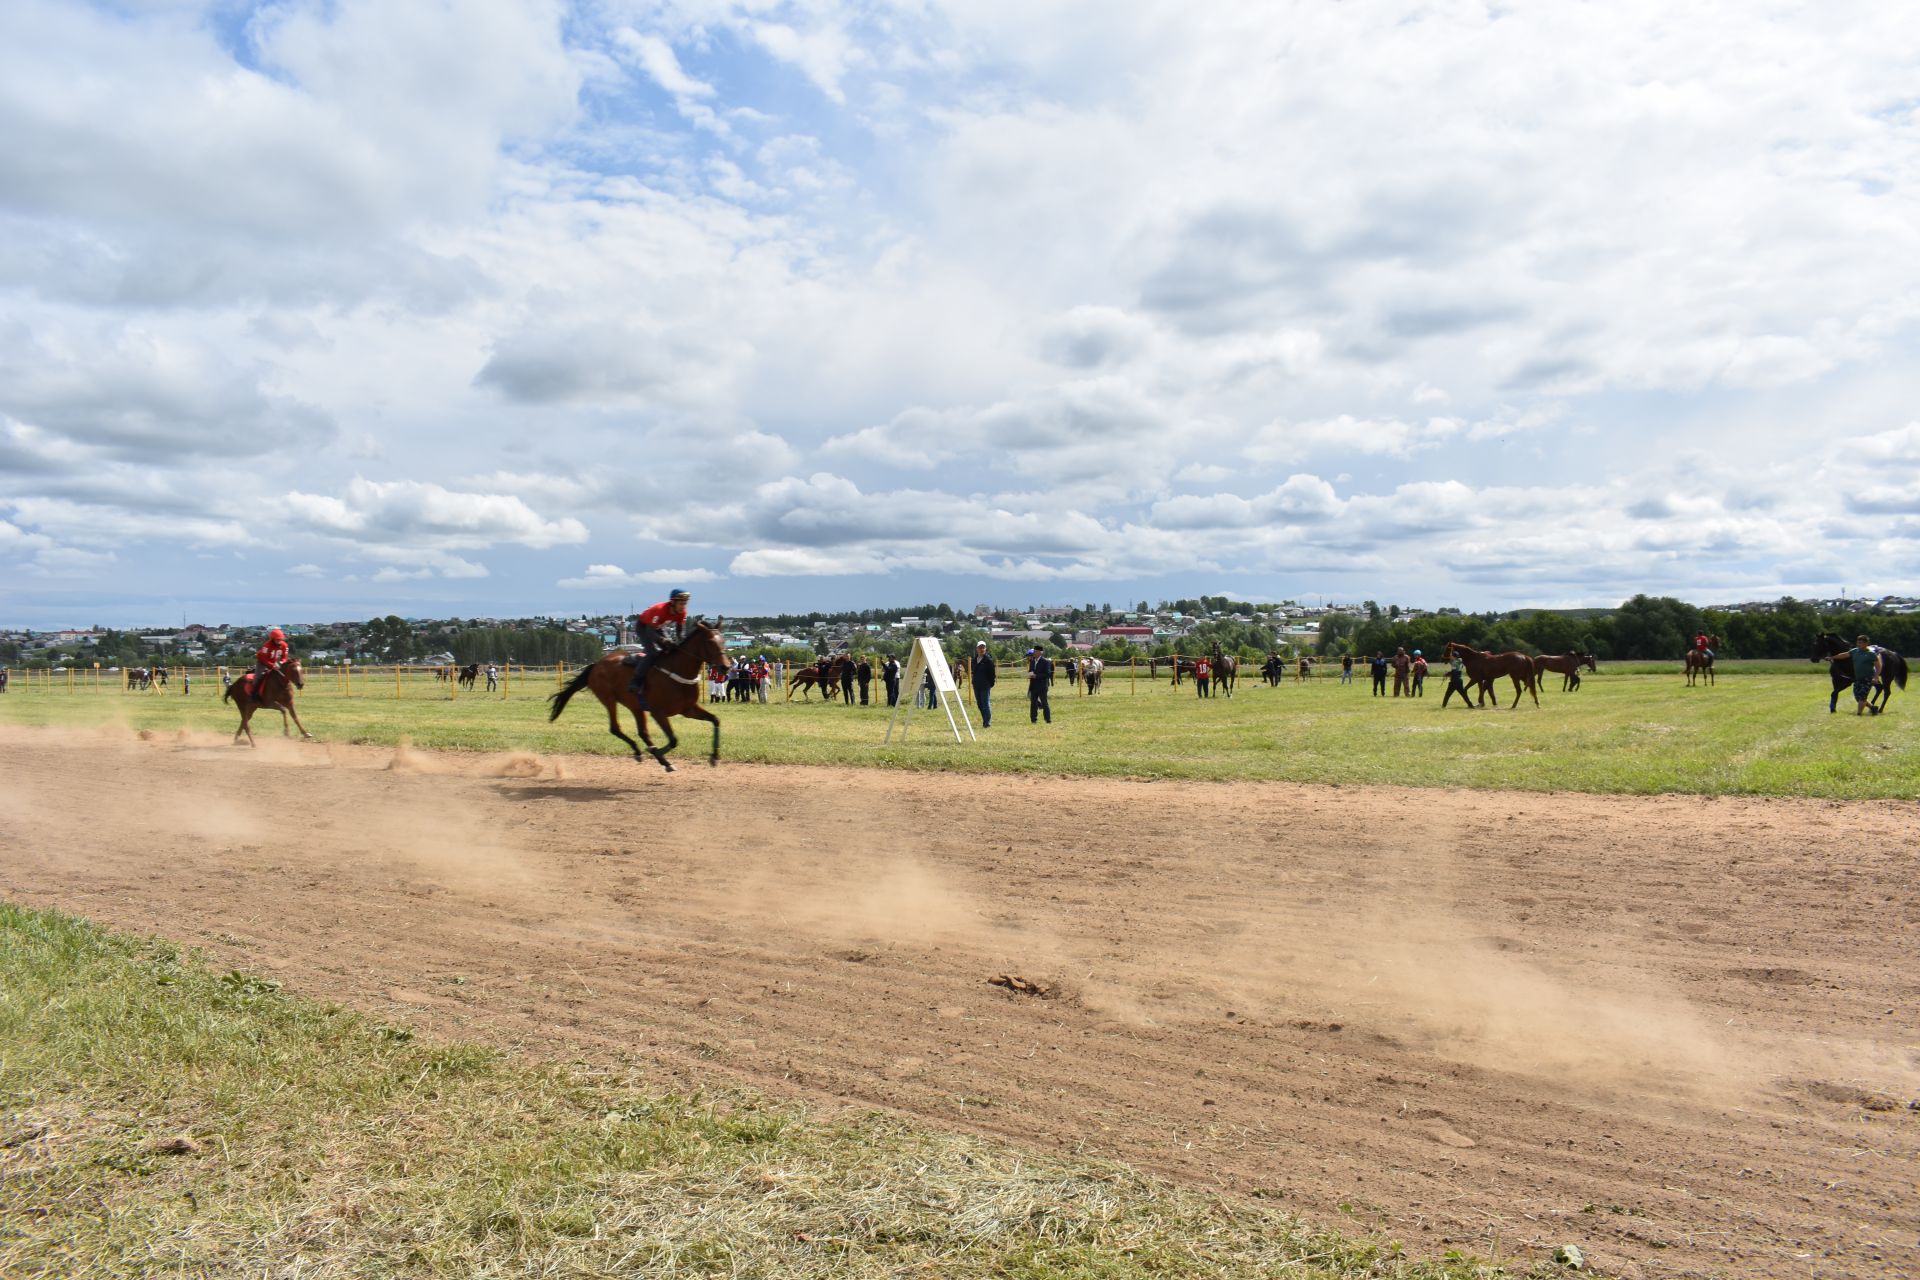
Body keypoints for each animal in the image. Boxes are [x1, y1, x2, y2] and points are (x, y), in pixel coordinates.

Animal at [549, 621, 725, 771]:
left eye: (723, 641)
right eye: (710, 642)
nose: (726, 666)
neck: (677, 671)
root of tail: (596, 664)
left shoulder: (688, 709)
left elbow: (715, 719)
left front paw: (714, 757)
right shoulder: (658, 712)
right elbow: (673, 740)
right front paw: (658, 753)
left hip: (635, 706)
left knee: (642, 732)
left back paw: (653, 755)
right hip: (608, 699)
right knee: (615, 728)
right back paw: (648, 754)